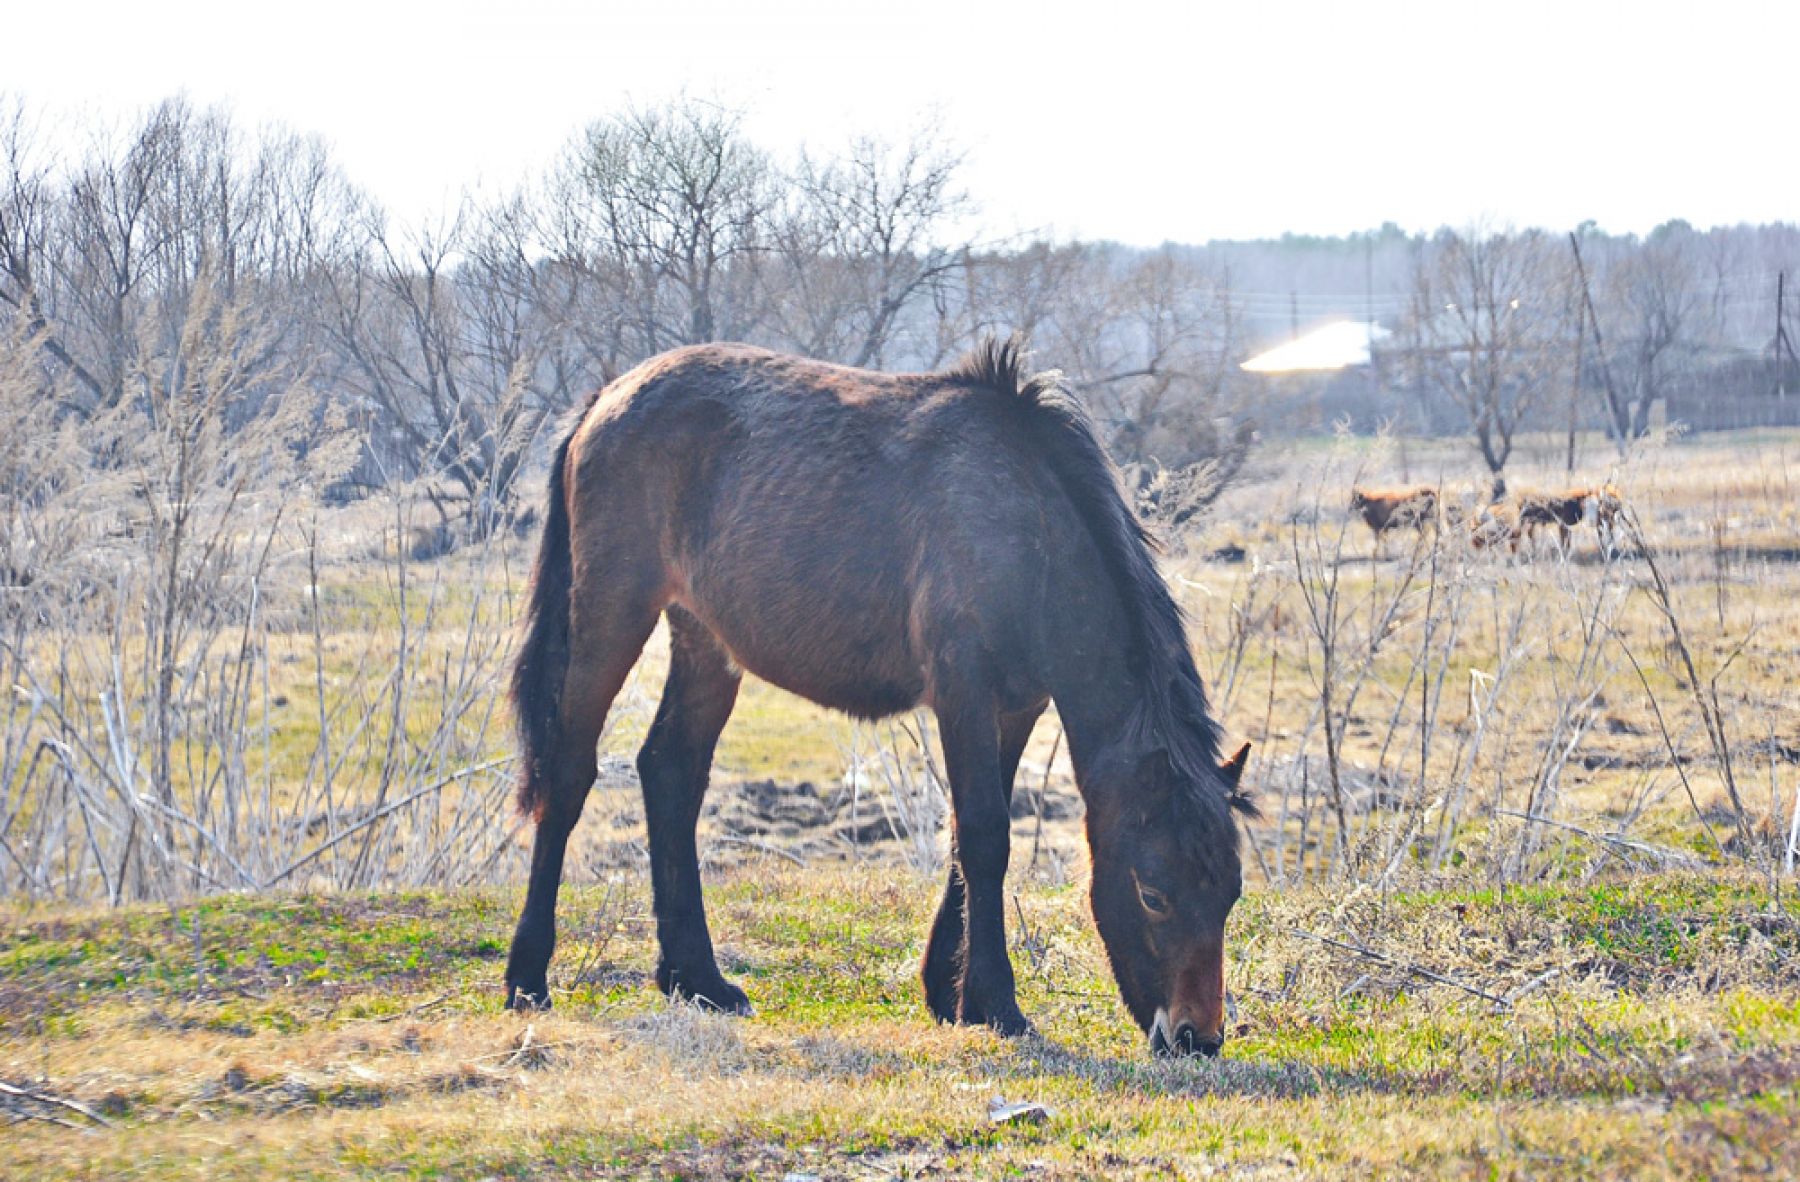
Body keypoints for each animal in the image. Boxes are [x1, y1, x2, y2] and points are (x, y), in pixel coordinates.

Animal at [504, 336, 1252, 1057]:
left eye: (1230, 894)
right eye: (1153, 894)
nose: (1197, 1037)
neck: (1024, 524)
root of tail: (607, 399)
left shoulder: (1016, 706)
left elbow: (969, 835)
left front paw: (951, 993)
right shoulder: (963, 688)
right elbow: (985, 835)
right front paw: (998, 1005)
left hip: (705, 642)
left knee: (670, 772)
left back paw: (698, 981)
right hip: (612, 612)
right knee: (568, 774)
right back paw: (528, 976)